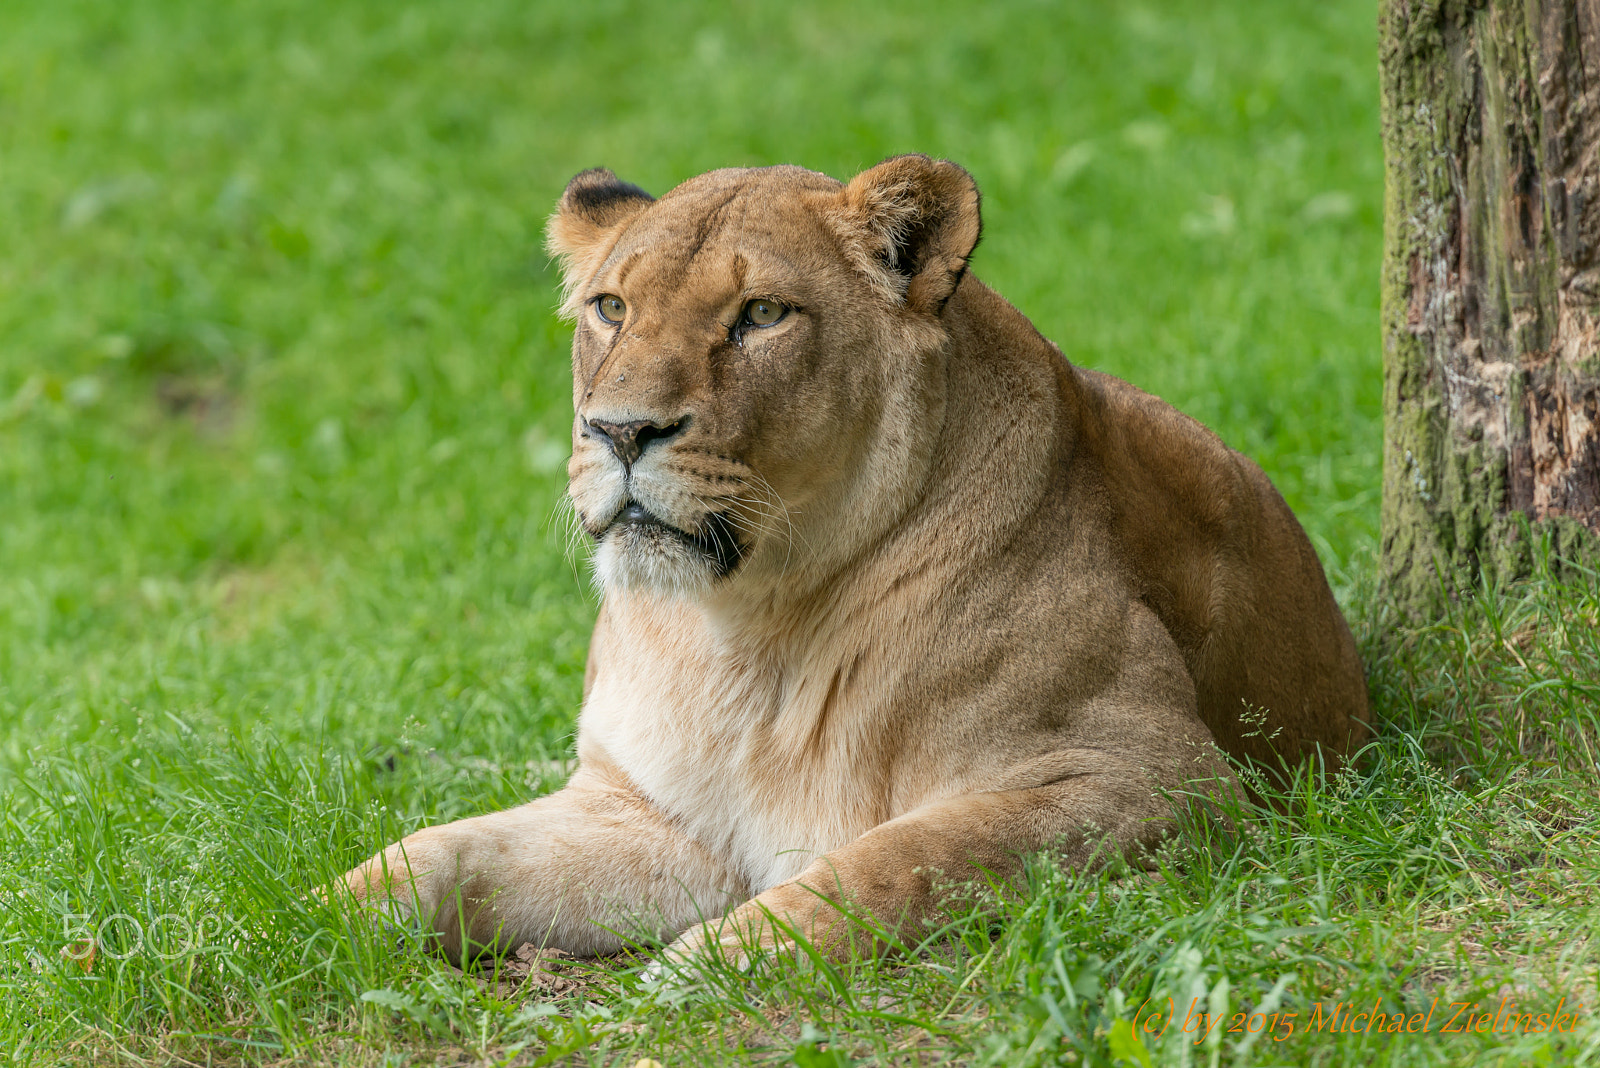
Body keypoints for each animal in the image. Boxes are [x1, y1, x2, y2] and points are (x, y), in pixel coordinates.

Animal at [342, 156, 1369, 967]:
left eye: (761, 314)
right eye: (612, 307)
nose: (619, 430)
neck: (743, 633)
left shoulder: (1154, 776)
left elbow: (895, 864)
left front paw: (701, 969)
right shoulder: (649, 813)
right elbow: (436, 853)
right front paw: (311, 921)